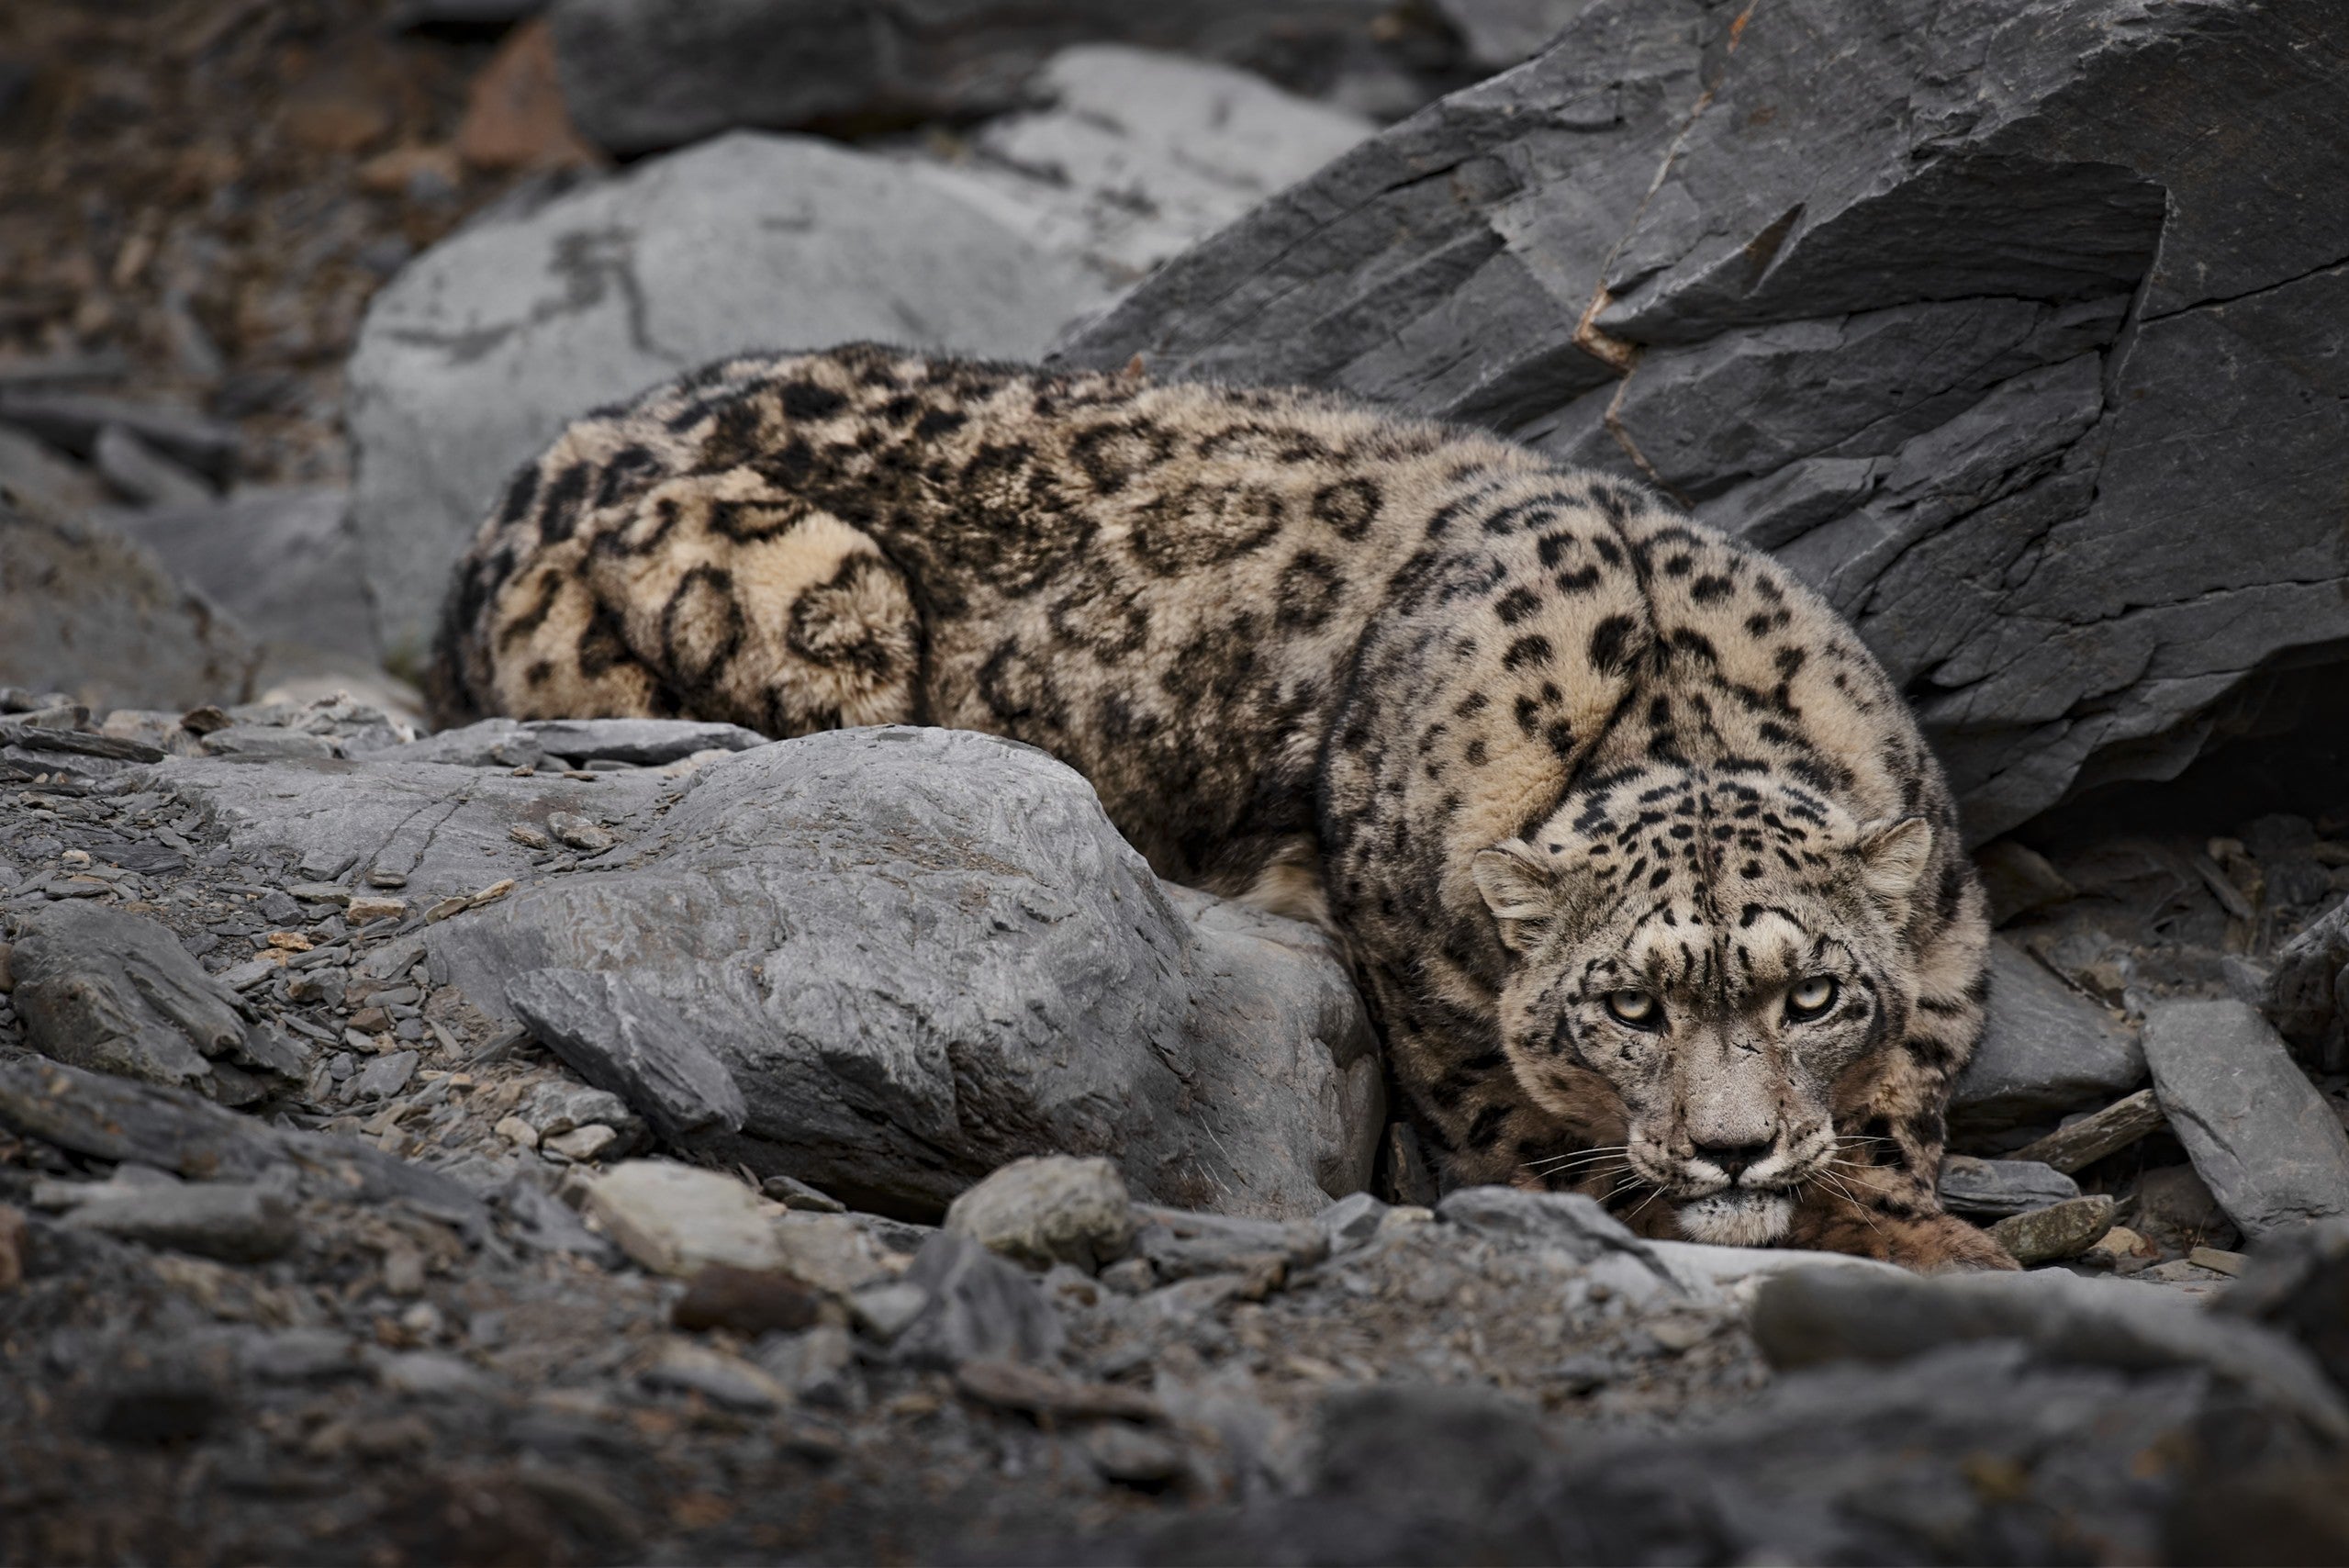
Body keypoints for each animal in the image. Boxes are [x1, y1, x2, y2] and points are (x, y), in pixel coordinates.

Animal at [432, 342, 2014, 1272]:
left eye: (1811, 994)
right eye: (1629, 1006)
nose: (1730, 1145)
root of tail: (522, 481)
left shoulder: (1944, 933)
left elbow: (1904, 1099)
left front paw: (1912, 1215)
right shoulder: (1446, 1026)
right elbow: (1541, 1145)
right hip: (815, 597)